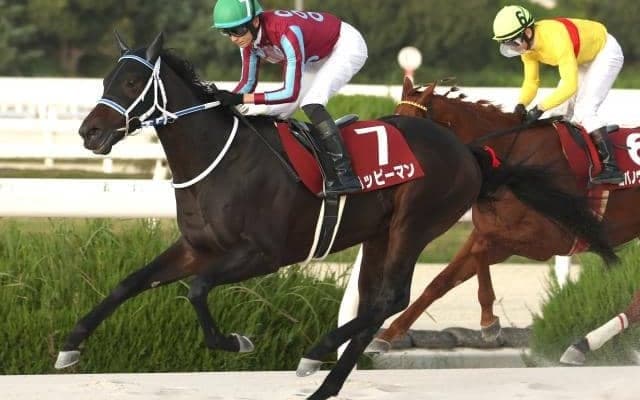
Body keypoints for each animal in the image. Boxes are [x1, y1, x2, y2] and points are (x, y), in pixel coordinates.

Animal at [369, 76, 639, 355]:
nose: (393, 174)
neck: (508, 162)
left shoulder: (549, 241)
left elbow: (479, 252)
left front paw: (489, 322)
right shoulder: (491, 232)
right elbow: (441, 281)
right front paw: (387, 335)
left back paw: (584, 344)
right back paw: (583, 344)